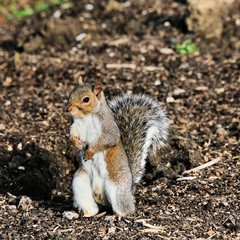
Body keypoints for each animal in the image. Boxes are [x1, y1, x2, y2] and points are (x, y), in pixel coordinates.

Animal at [67, 77, 169, 218]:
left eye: (86, 99)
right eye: (70, 93)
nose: (68, 109)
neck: (86, 117)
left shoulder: (108, 129)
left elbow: (106, 140)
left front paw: (89, 152)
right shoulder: (76, 126)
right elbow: (73, 135)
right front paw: (77, 143)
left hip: (116, 187)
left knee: (127, 209)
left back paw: (115, 215)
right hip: (80, 182)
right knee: (93, 209)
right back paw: (80, 213)